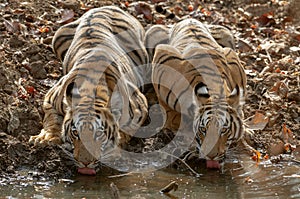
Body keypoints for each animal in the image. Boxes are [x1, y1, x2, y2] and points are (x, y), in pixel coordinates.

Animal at [29, 5, 149, 175]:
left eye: (98, 133)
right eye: (75, 133)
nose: (85, 163)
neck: (92, 90)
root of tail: (108, 6)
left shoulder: (140, 107)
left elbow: (126, 129)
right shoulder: (51, 98)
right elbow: (52, 118)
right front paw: (45, 138)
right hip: (57, 36)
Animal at [148, 18, 253, 170]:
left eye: (223, 130)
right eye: (203, 129)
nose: (211, 156)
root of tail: (188, 19)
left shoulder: (232, 58)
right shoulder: (162, 58)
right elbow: (172, 115)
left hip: (227, 35)